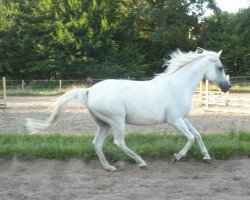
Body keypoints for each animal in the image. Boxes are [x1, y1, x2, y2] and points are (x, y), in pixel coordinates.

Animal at [25, 47, 230, 171]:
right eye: (220, 67)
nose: (228, 87)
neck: (177, 86)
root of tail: (90, 90)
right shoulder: (174, 121)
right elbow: (190, 138)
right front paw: (176, 157)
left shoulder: (183, 118)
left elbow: (197, 135)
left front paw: (207, 157)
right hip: (117, 120)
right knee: (118, 142)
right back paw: (141, 163)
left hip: (104, 124)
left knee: (97, 144)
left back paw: (109, 168)